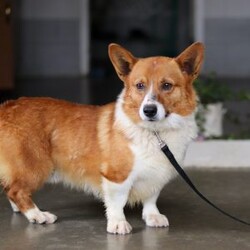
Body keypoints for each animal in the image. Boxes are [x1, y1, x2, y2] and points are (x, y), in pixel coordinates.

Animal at [0, 42, 203, 234]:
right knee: (16, 190)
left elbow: (151, 197)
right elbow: (117, 203)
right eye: (140, 86)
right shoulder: (116, 177)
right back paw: (38, 215)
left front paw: (153, 216)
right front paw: (118, 224)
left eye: (167, 85)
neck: (155, 132)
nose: (149, 110)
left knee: (10, 188)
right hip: (37, 166)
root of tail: (6, 107)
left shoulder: (157, 174)